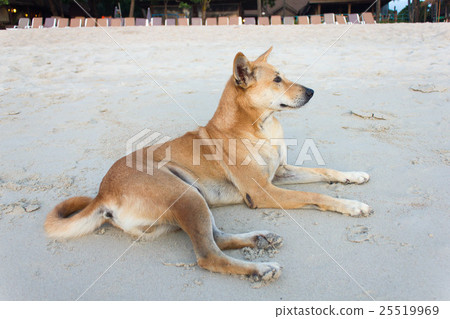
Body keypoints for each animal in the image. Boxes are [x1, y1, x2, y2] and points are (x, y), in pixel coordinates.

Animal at [44, 47, 372, 282]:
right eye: (277, 79)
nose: (312, 92)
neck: (258, 127)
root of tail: (103, 193)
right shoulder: (263, 191)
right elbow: (315, 194)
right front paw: (352, 205)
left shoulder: (278, 174)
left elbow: (323, 171)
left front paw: (353, 176)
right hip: (186, 195)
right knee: (207, 255)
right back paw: (259, 269)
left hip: (193, 195)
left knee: (217, 237)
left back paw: (260, 239)